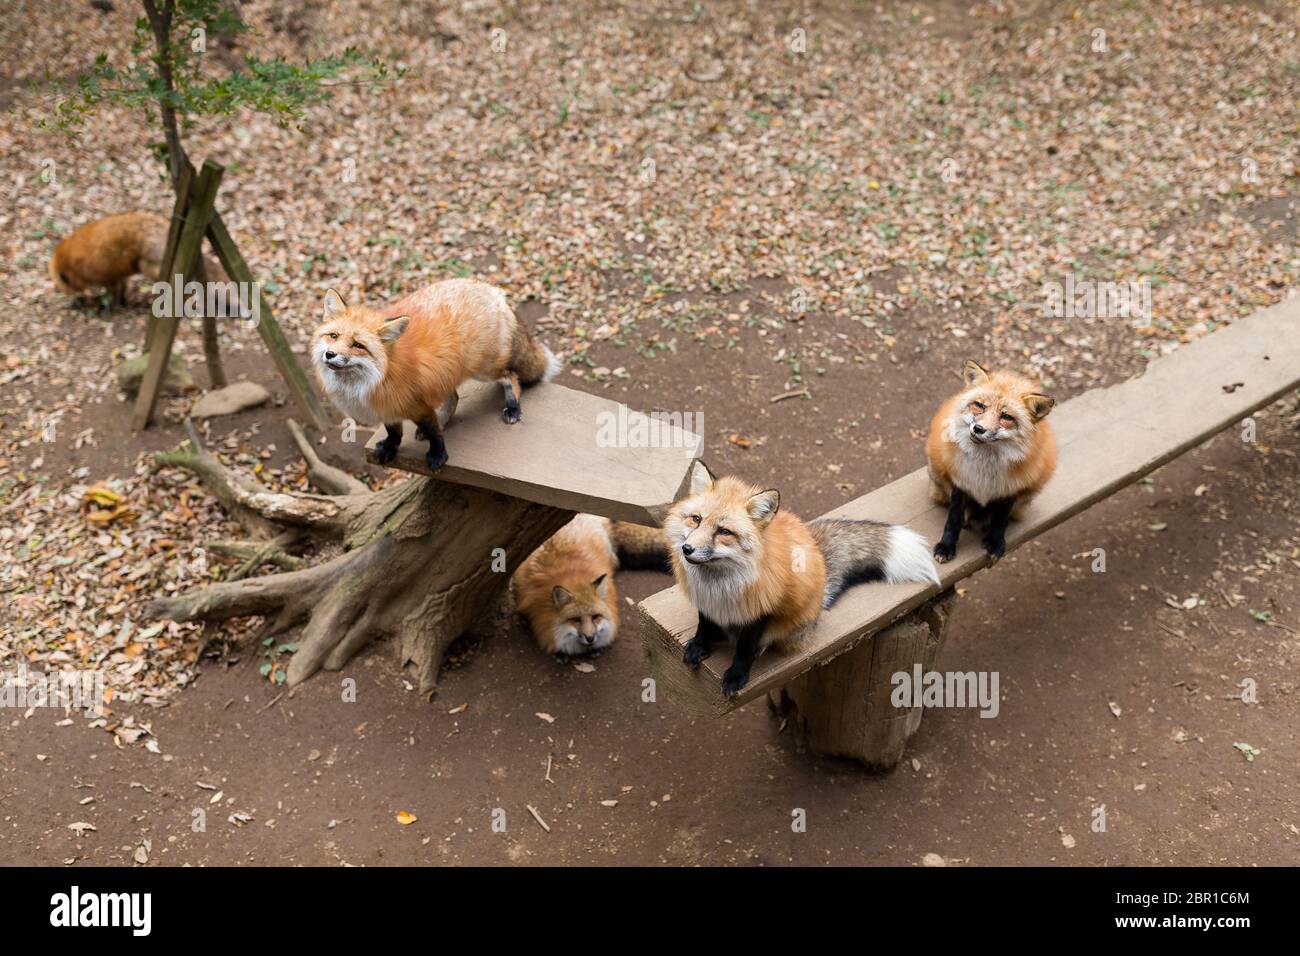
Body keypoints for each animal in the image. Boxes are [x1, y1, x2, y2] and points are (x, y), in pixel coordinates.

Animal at [50, 210, 228, 304]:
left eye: (62, 287)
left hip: (148, 266)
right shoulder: (118, 274)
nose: (73, 302)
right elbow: (122, 289)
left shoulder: (107, 277)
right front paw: (122, 303)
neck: (72, 265)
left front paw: (111, 306)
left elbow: (114, 293)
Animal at [313, 277, 564, 470]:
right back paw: (444, 418)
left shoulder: (417, 406)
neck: (373, 380)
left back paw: (513, 407)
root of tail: (491, 289)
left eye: (358, 345)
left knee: (511, 377)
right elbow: (395, 432)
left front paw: (438, 456)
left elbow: (434, 433)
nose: (330, 354)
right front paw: (391, 448)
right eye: (333, 336)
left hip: (484, 369)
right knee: (454, 397)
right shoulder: (388, 408)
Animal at [509, 515, 670, 658]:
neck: (572, 575)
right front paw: (561, 652)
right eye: (575, 619)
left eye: (595, 617)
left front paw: (595, 648)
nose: (590, 638)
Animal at [670, 463, 935, 697]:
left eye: (724, 532)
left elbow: (744, 649)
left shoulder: (762, 609)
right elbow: (704, 625)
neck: (719, 586)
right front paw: (700, 645)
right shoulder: (704, 600)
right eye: (696, 519)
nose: (687, 549)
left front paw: (736, 676)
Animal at [925, 361, 1055, 564]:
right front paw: (946, 546)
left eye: (1006, 417)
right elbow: (953, 519)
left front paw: (995, 542)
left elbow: (1000, 520)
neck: (985, 468)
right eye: (979, 406)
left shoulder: (1012, 488)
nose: (978, 429)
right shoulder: (961, 482)